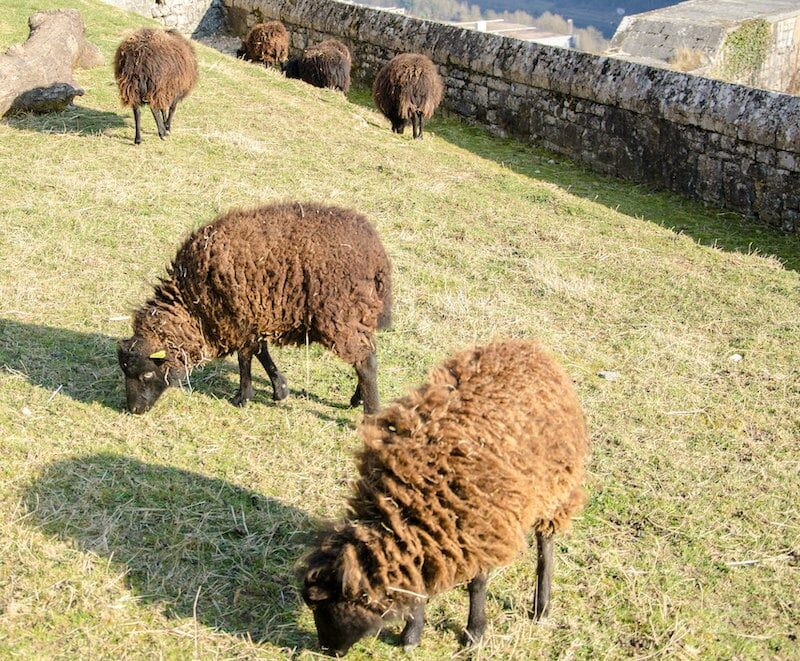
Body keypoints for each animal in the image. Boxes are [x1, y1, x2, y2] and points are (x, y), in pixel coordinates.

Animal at [117, 204, 392, 416]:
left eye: (147, 375)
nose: (134, 410)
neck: (190, 302)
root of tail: (377, 254)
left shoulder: (235, 318)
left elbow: (245, 358)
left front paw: (243, 397)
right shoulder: (253, 317)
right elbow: (260, 351)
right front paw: (280, 389)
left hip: (339, 314)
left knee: (366, 363)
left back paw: (371, 411)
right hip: (359, 313)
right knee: (368, 353)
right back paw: (357, 399)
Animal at [300, 338, 588, 656]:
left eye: (321, 604)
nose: (327, 649)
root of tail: (530, 348)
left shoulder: (479, 524)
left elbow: (477, 583)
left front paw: (474, 633)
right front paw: (412, 635)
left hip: (556, 487)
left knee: (545, 545)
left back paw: (542, 607)